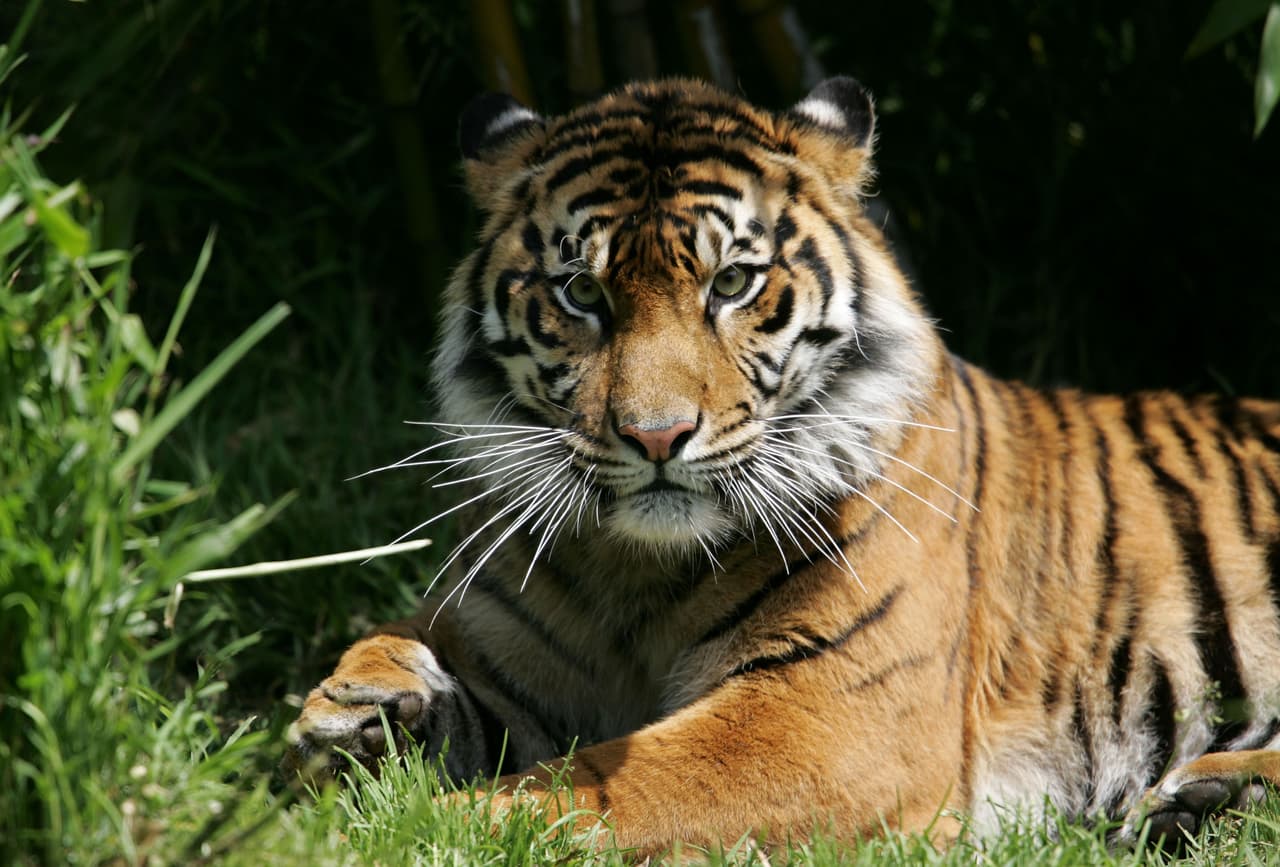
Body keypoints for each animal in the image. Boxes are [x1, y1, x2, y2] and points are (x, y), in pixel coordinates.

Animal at [285, 77, 1280, 856]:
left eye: (732, 283)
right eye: (582, 291)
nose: (655, 436)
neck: (630, 573)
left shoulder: (824, 717)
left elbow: (576, 790)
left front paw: (393, 831)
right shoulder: (504, 645)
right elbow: (411, 656)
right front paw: (357, 708)